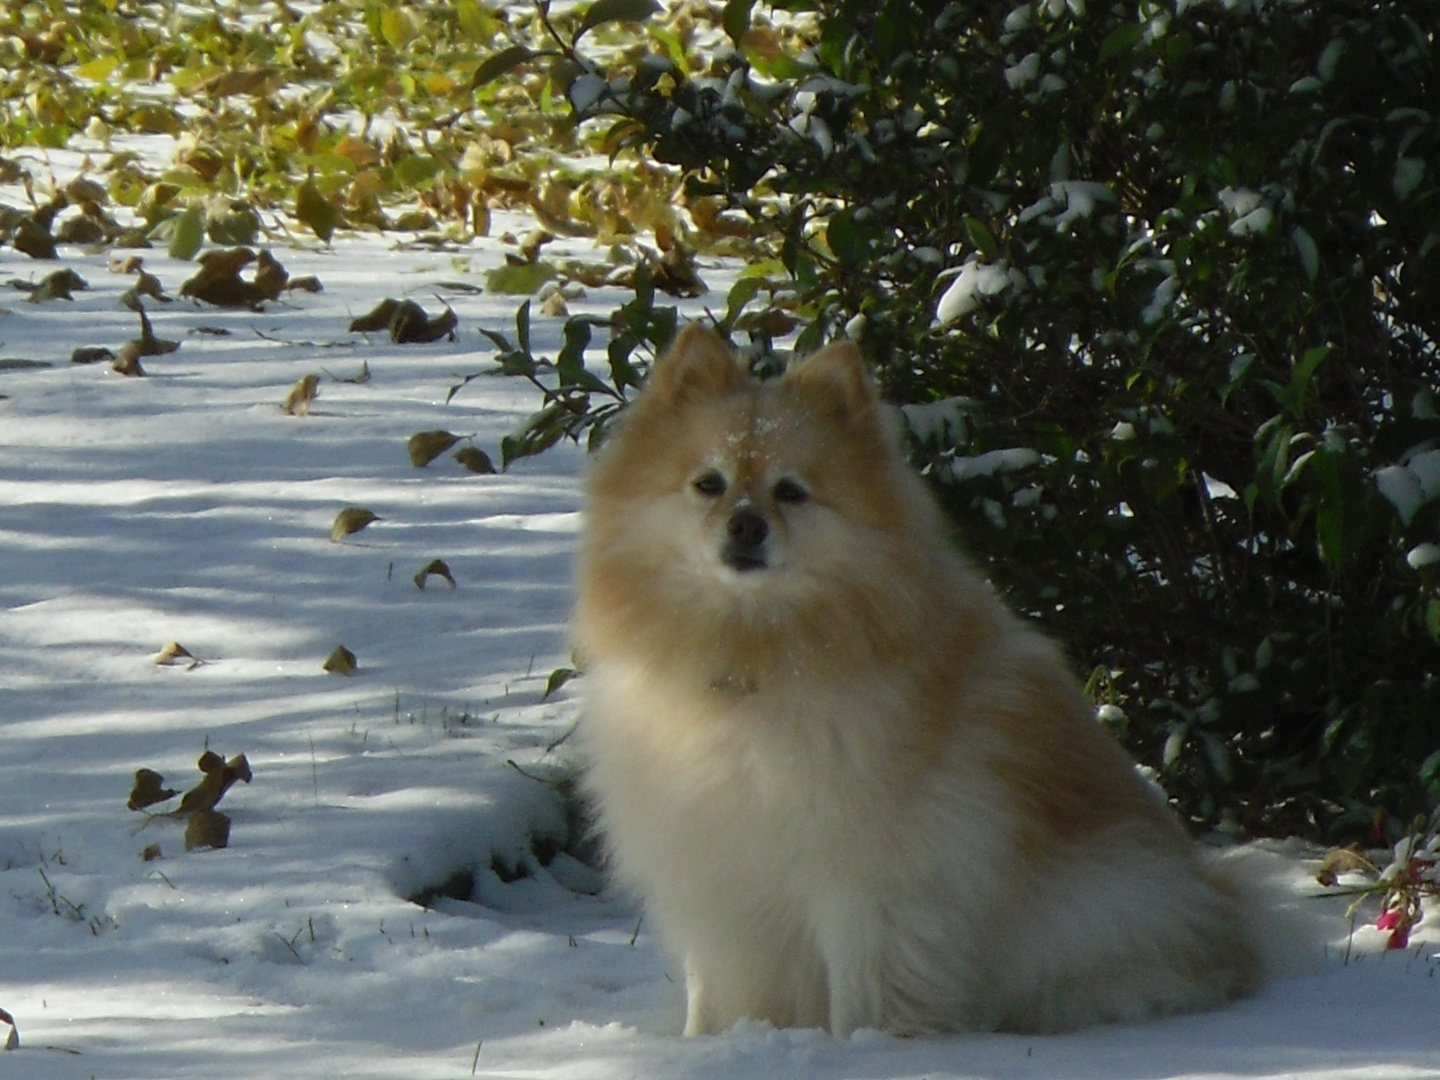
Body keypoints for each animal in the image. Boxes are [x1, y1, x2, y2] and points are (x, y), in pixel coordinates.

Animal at [573, 324, 1272, 1042]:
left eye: (791, 491)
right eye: (708, 484)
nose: (747, 524)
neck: (751, 657)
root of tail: (1228, 917)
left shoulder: (866, 883)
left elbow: (859, 995)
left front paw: (864, 1050)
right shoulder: (716, 871)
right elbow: (709, 995)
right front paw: (704, 1048)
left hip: (1092, 910)